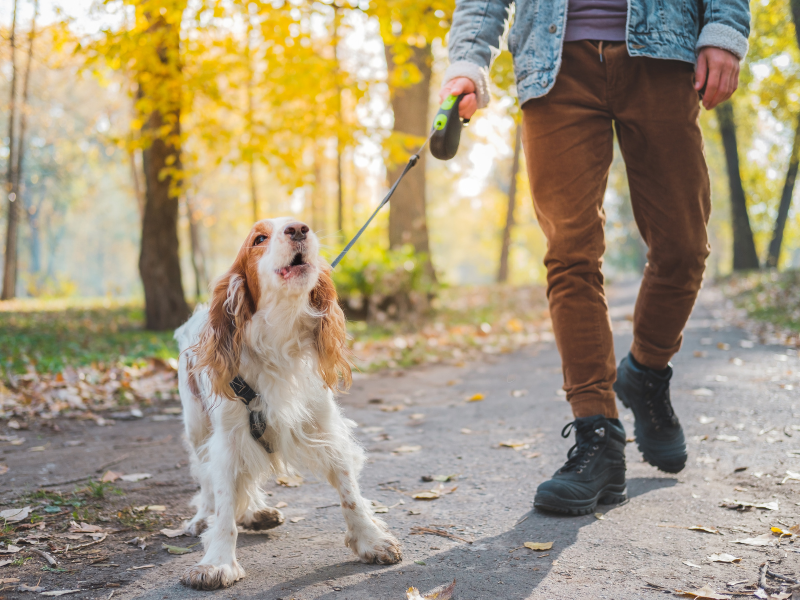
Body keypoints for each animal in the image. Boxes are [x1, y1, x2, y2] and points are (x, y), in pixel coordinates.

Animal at [173, 218, 404, 588]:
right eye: (259, 238)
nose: (299, 229)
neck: (278, 338)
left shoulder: (325, 427)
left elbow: (350, 493)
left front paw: (371, 539)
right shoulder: (228, 439)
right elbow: (223, 503)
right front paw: (217, 562)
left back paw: (256, 512)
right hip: (197, 427)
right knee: (206, 479)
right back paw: (203, 517)